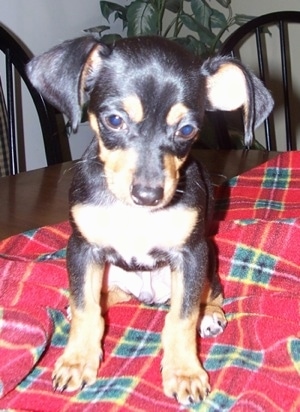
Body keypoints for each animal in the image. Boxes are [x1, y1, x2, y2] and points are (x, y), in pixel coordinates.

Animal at [27, 36, 274, 406]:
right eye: (114, 120)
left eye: (187, 129)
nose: (148, 195)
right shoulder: (82, 249)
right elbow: (87, 309)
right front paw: (77, 361)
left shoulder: (190, 255)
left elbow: (182, 317)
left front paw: (184, 372)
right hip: (110, 269)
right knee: (109, 295)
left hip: (208, 263)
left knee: (210, 294)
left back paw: (211, 315)